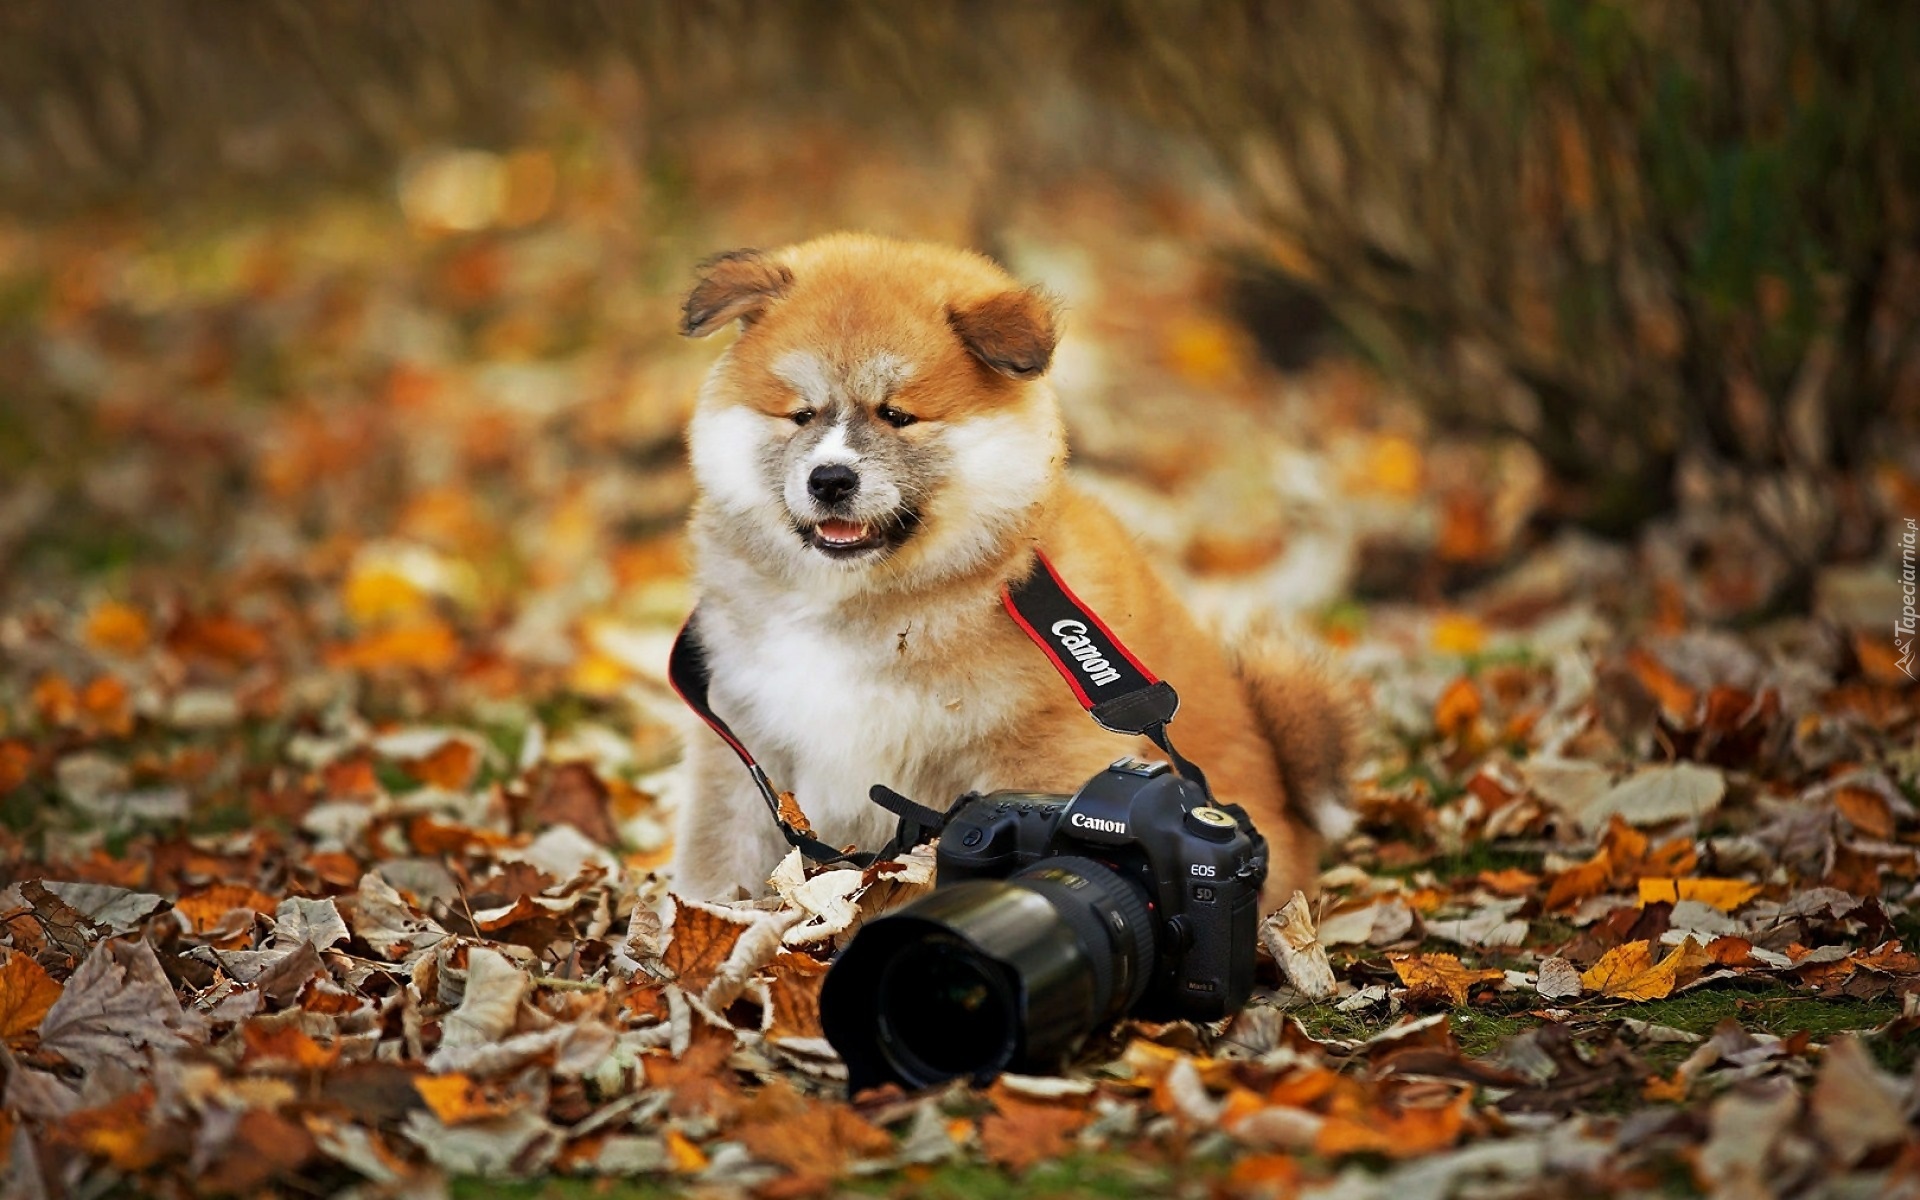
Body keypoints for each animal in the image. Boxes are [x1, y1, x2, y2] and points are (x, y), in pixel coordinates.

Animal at [668, 231, 1359, 906]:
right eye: (801, 414)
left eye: (897, 415)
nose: (830, 478)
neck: (863, 605)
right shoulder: (746, 737)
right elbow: (720, 856)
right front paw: (702, 918)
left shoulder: (1039, 745)